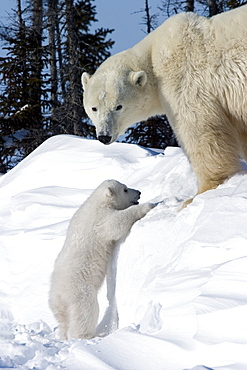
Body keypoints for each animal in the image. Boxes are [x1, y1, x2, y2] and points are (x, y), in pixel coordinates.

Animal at [82, 6, 247, 208]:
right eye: (94, 108)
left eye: (118, 106)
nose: (104, 136)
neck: (152, 55)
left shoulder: (184, 78)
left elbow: (199, 128)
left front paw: (200, 194)